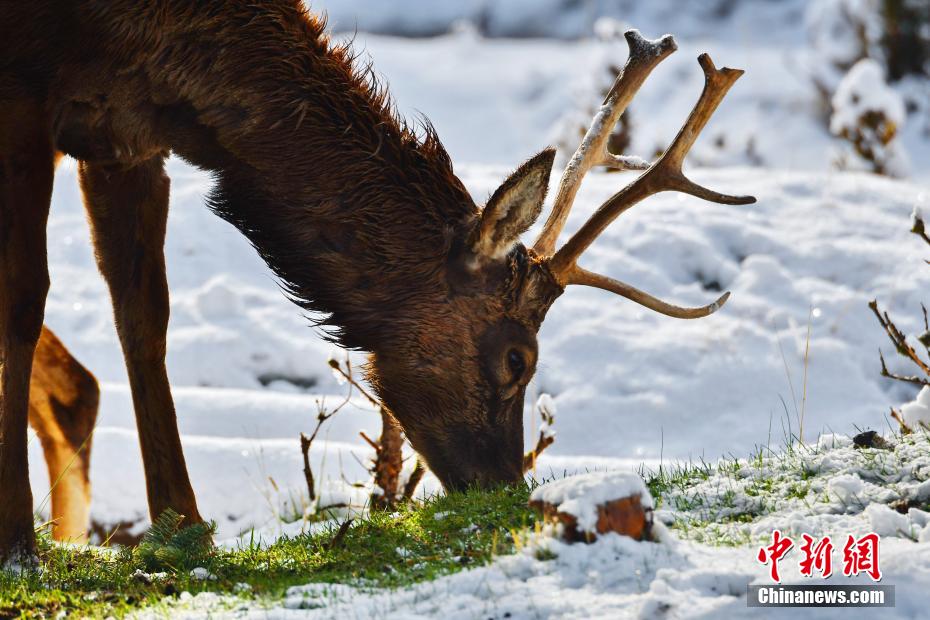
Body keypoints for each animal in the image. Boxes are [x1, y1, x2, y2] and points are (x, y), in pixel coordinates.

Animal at [0, 0, 752, 560]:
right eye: (518, 358)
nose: (503, 485)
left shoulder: (126, 135)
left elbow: (143, 319)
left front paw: (184, 528)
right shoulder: (24, 100)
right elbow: (23, 304)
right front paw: (15, 542)